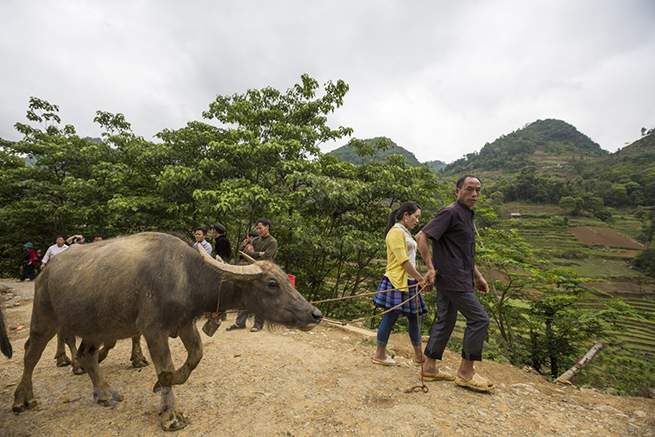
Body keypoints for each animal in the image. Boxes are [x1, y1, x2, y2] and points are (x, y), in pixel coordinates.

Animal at [12, 232, 322, 430]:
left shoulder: (184, 324)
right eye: (272, 284)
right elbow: (166, 367)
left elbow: (195, 356)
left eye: (287, 280)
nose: (315, 314)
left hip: (95, 325)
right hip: (44, 317)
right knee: (31, 353)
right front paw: (170, 414)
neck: (186, 277)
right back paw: (23, 399)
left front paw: (162, 386)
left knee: (87, 354)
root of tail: (46, 270)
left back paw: (105, 393)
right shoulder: (153, 329)